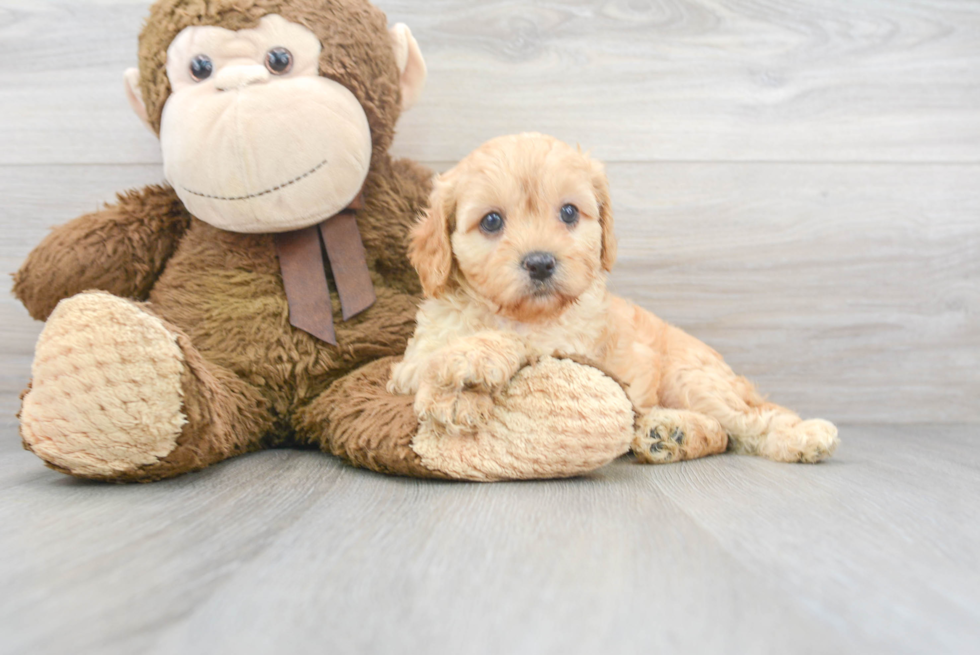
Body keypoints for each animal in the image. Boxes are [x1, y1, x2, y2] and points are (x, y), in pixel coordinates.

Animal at [386, 133, 840, 464]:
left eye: (569, 212)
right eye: (492, 221)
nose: (540, 263)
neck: (520, 314)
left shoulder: (572, 349)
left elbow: (521, 343)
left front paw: (467, 372)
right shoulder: (411, 362)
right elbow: (432, 361)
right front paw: (455, 388)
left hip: (692, 378)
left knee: (747, 422)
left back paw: (803, 436)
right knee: (722, 433)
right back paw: (669, 434)